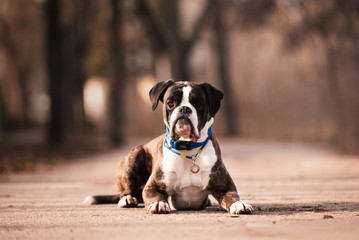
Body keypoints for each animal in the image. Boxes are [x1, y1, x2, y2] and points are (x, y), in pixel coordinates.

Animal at [84, 80, 253, 214]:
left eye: (198, 104)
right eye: (171, 103)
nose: (184, 109)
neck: (188, 148)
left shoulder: (225, 188)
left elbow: (232, 196)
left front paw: (240, 204)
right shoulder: (152, 187)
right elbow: (157, 196)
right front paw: (159, 203)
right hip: (135, 155)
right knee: (126, 191)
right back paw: (127, 199)